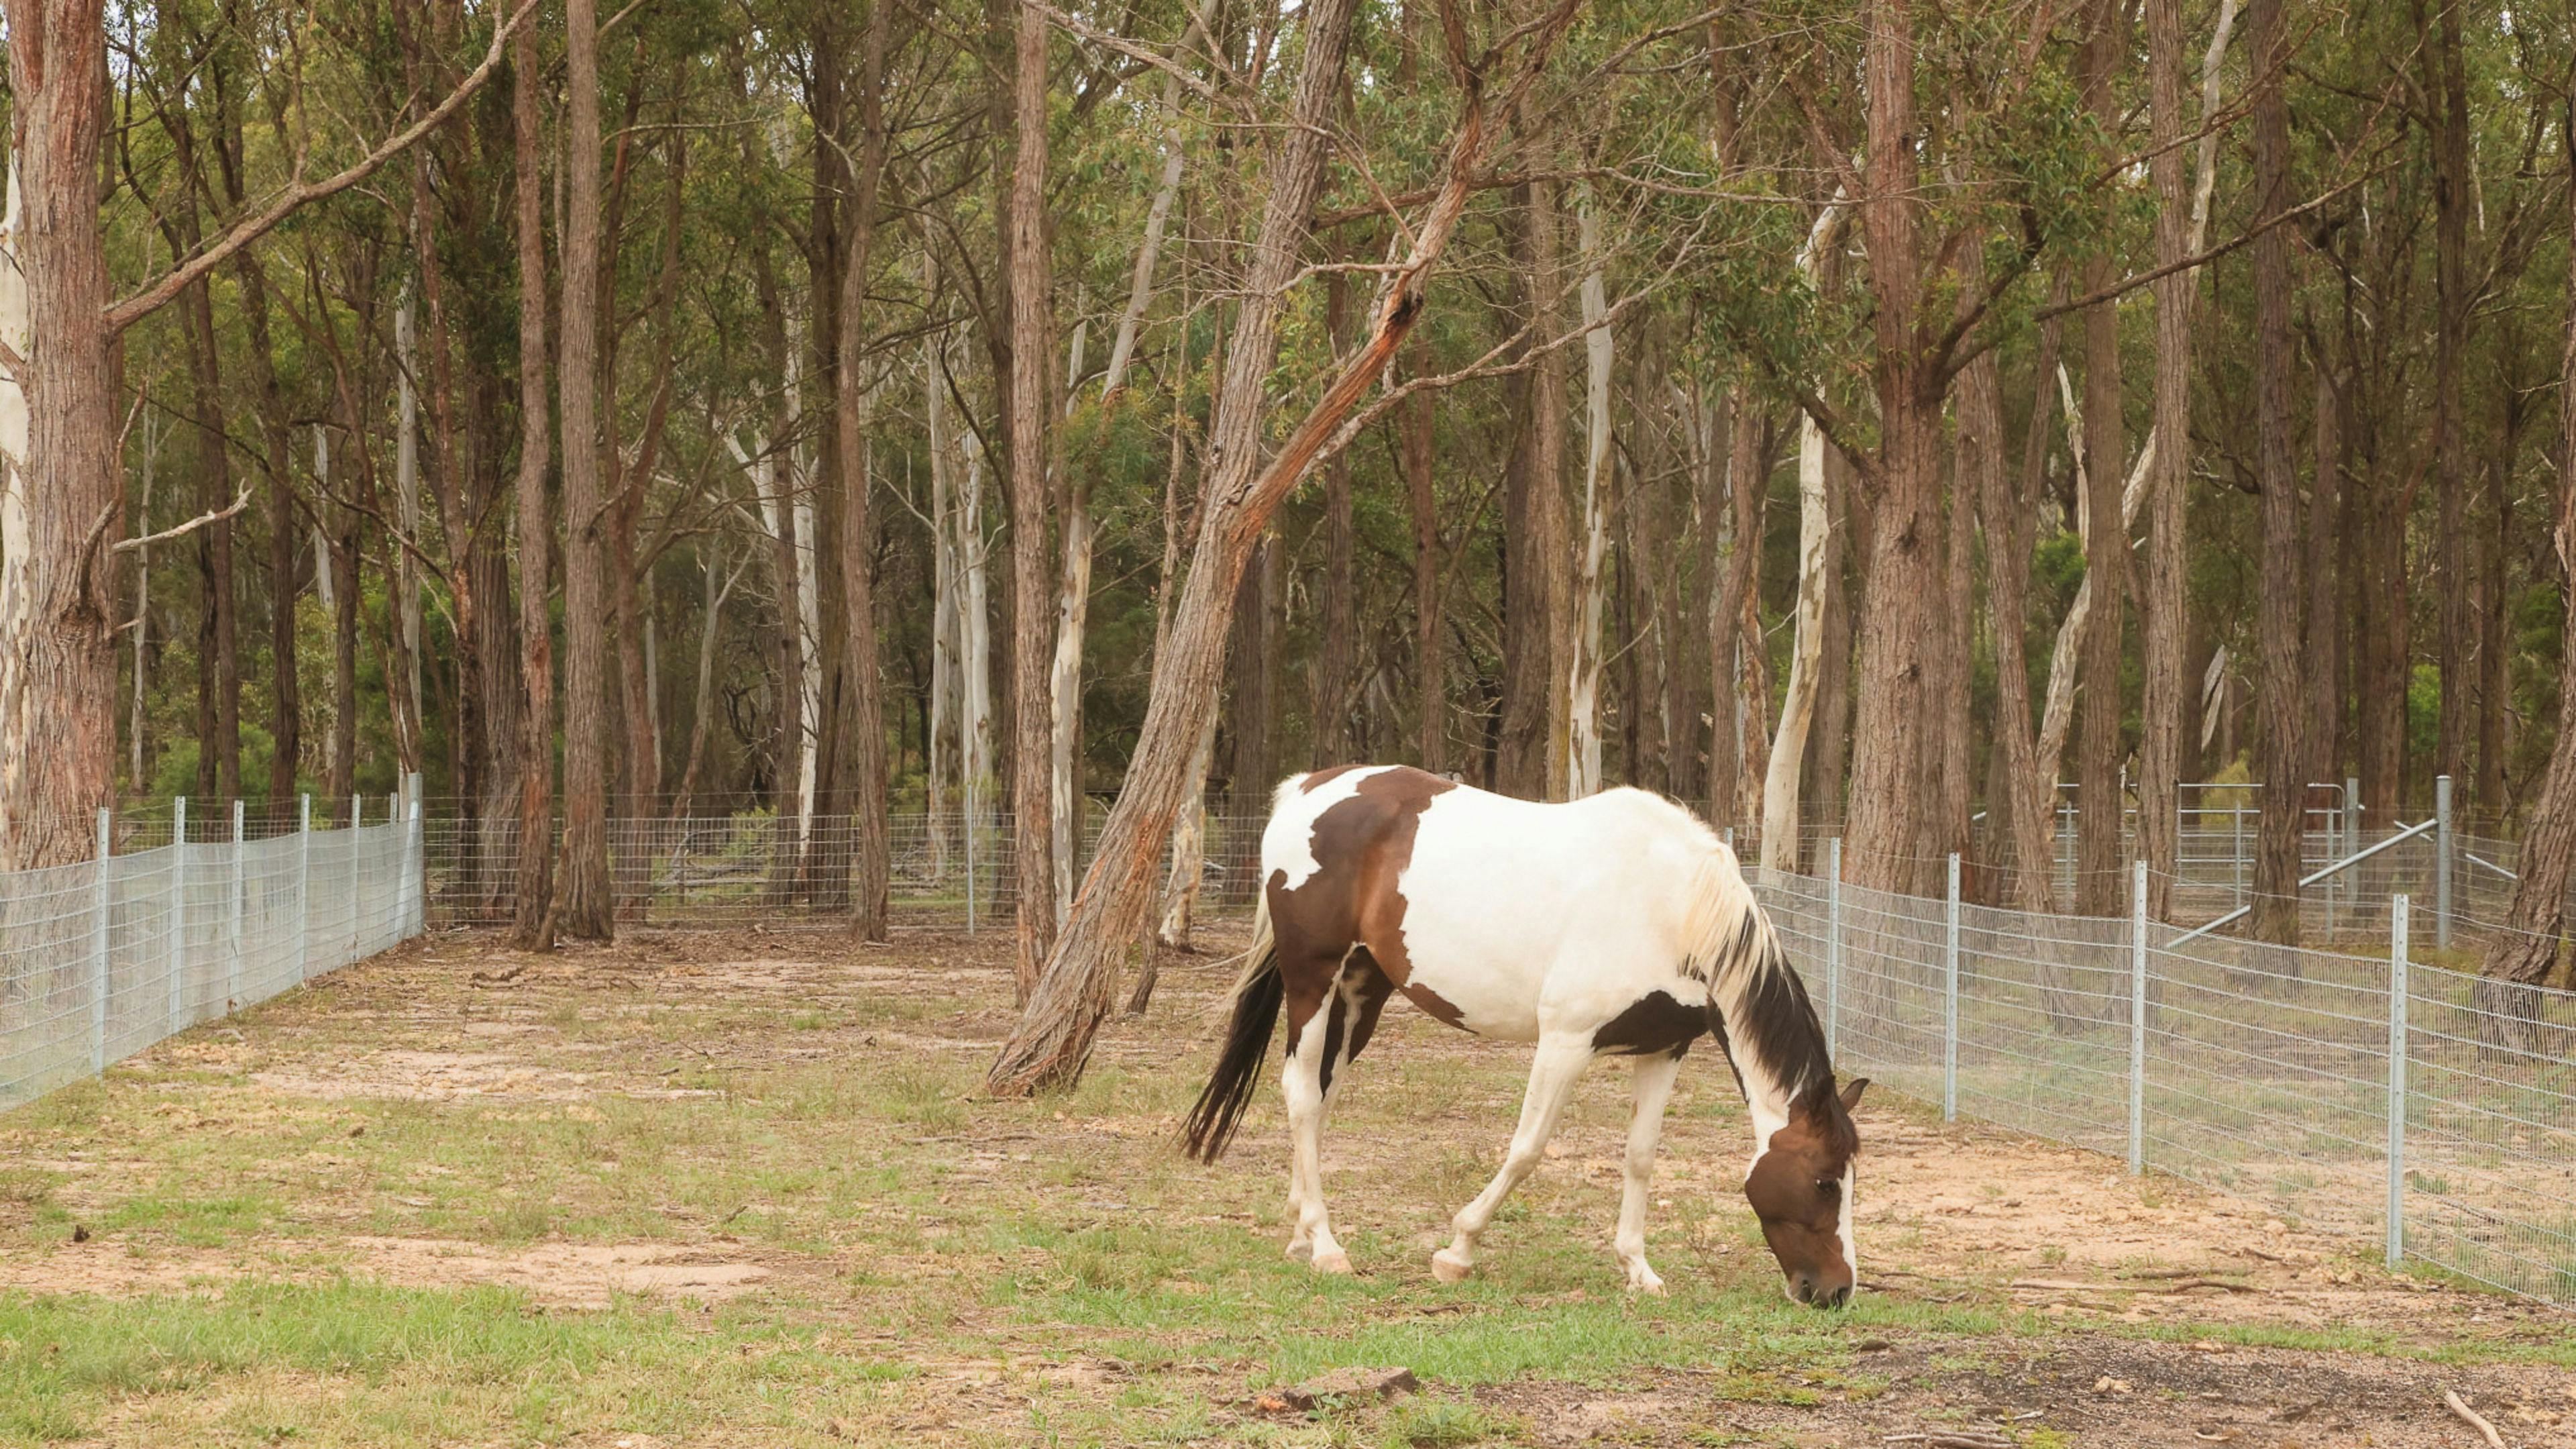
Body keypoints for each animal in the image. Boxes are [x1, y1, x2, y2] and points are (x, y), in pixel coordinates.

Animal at [1181, 765, 1867, 1306]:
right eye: (1825, 1181)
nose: (1835, 1291)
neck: (1674, 907)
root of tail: (1304, 790)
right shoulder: (1565, 1041)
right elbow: (1527, 1149)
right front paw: (1457, 1251)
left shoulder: (1664, 1049)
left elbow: (1641, 1157)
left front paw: (1638, 1270)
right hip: (1313, 980)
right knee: (1299, 1093)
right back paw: (1326, 1246)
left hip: (1360, 991)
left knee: (1320, 1098)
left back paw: (1302, 1234)